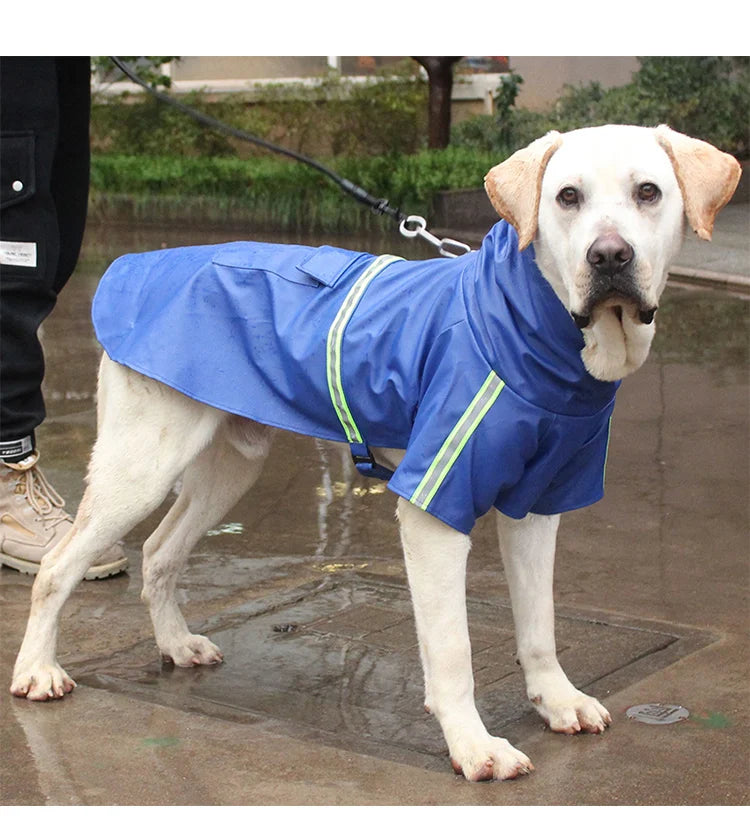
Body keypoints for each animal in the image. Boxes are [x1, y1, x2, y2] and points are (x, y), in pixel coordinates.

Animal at [8, 122, 744, 780]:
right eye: (567, 197)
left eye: (648, 192)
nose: (609, 257)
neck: (538, 333)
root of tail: (137, 265)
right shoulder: (433, 510)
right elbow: (453, 650)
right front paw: (473, 746)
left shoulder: (538, 504)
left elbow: (539, 625)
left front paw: (555, 700)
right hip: (141, 463)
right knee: (59, 566)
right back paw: (38, 669)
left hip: (230, 464)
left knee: (161, 552)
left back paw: (174, 643)